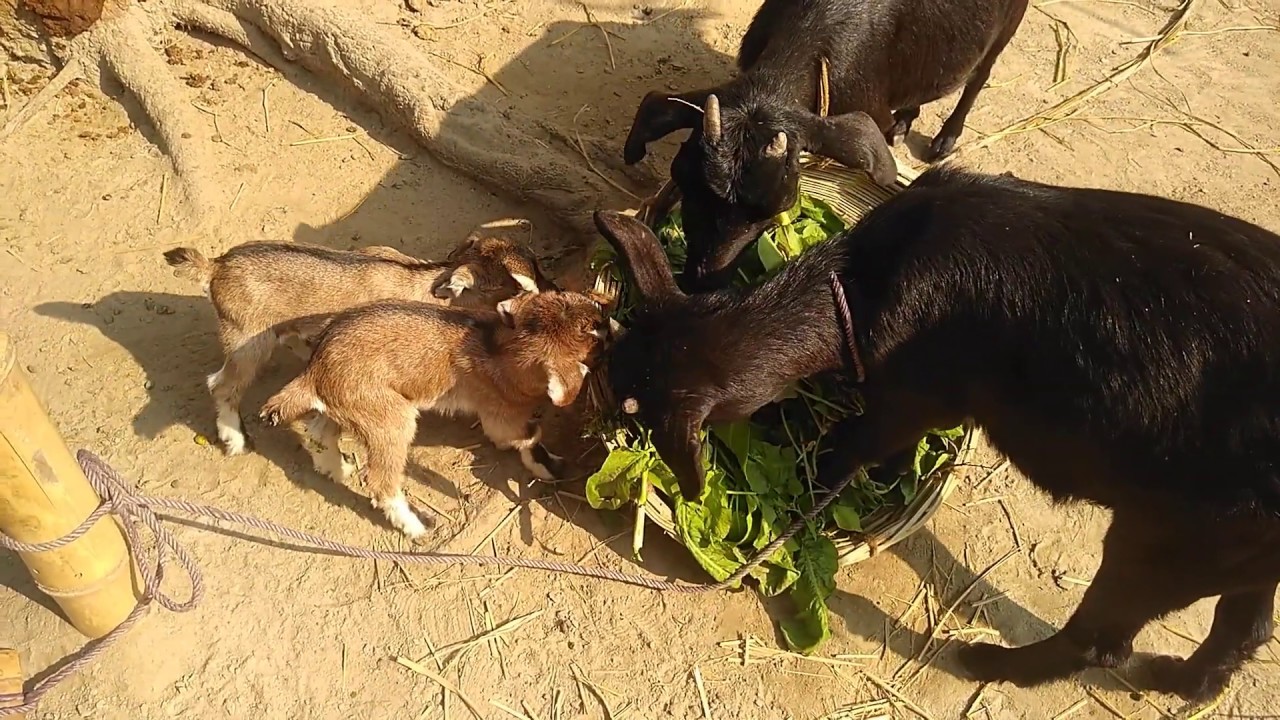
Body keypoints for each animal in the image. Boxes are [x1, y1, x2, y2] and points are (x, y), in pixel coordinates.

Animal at [164, 234, 553, 456]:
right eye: (520, 283)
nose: (553, 289)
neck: (427, 284)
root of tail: (215, 267)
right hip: (247, 340)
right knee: (222, 385)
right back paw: (235, 440)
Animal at [258, 290, 611, 540]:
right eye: (592, 336)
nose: (608, 319)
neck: (501, 348)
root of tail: (314, 369)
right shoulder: (500, 415)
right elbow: (527, 436)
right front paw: (549, 466)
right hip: (389, 419)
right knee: (380, 481)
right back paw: (416, 527)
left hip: (353, 405)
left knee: (319, 432)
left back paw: (336, 469)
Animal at [592, 166, 1280, 702]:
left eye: (637, 410)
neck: (859, 286)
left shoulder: (913, 399)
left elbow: (854, 448)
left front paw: (821, 492)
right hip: (1238, 555)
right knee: (1241, 631)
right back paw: (1176, 682)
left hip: (1169, 538)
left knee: (1103, 641)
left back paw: (985, 660)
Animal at [622, 0, 1028, 291]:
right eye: (683, 181)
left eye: (774, 211)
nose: (698, 282)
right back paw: (905, 122)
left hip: (1008, 26)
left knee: (980, 74)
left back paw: (945, 138)